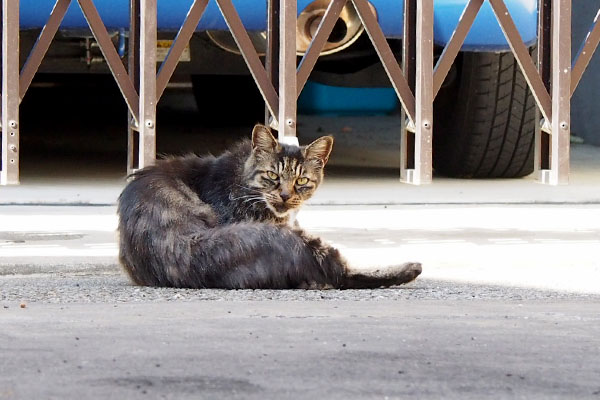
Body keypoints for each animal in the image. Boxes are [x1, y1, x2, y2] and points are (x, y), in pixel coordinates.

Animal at [117, 123, 422, 290]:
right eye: (272, 176)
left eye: (301, 181)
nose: (286, 196)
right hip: (307, 244)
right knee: (341, 273)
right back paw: (412, 267)